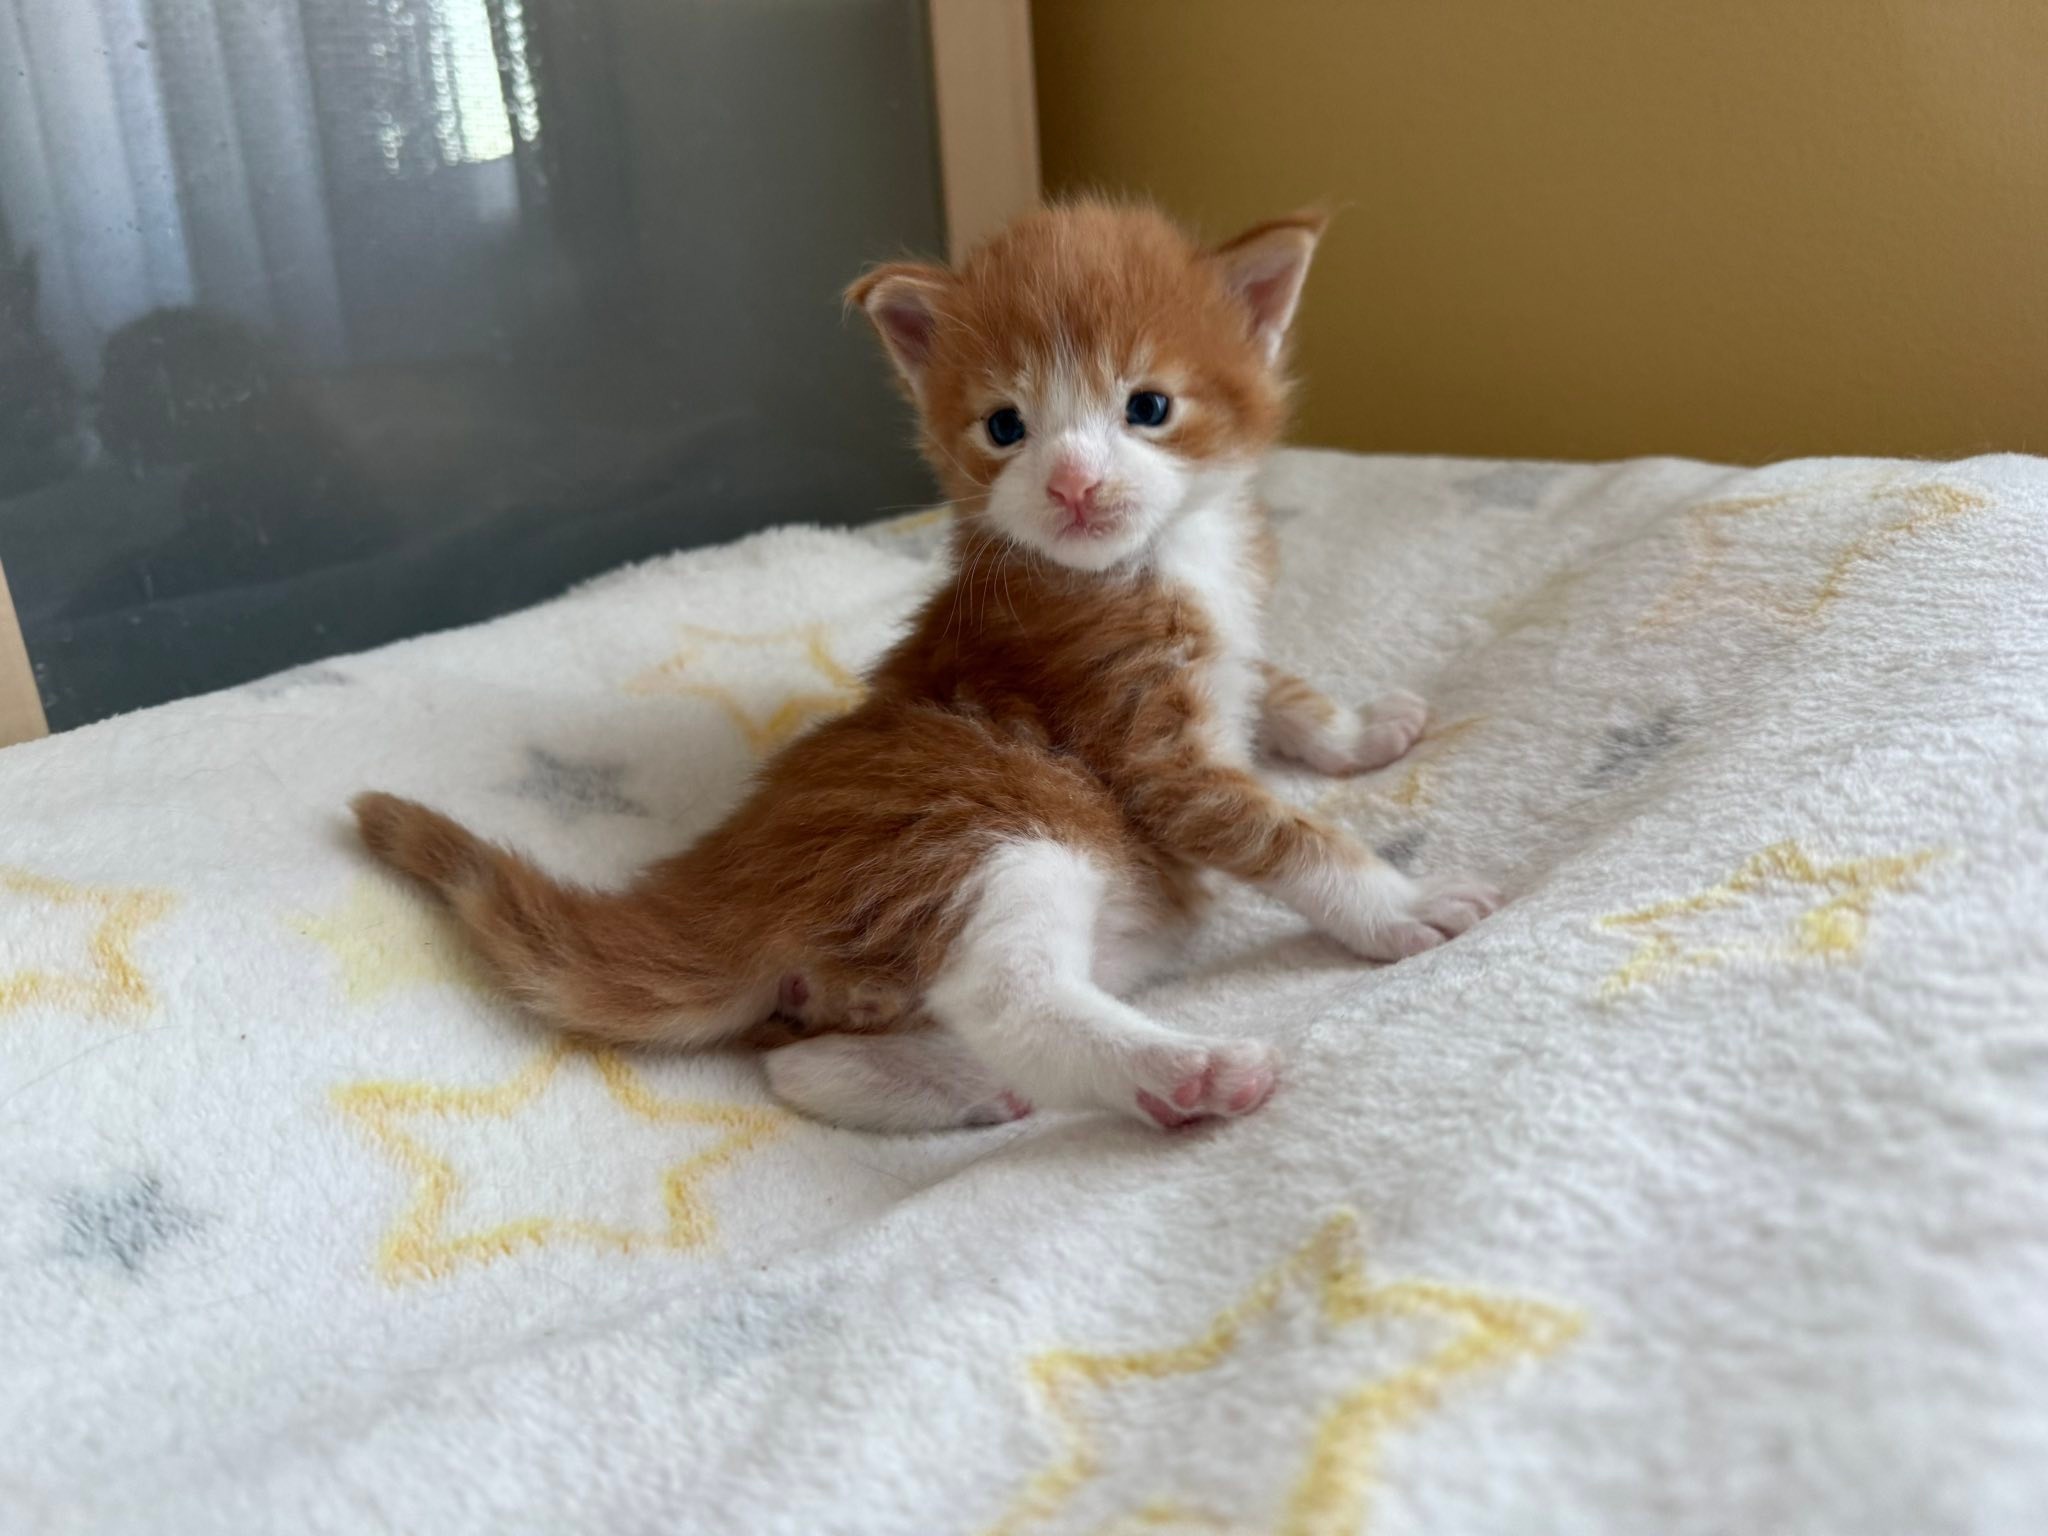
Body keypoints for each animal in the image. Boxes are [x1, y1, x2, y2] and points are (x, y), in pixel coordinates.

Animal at [352, 200, 1501, 1133]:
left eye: (1147, 407)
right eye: (1005, 426)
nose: (1074, 484)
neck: (1154, 562)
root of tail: (725, 884)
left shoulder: (1230, 638)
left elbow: (1273, 686)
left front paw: (1360, 732)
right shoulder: (1146, 750)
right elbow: (1284, 833)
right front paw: (1399, 906)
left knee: (802, 1062)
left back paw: (965, 1088)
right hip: (990, 828)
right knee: (1008, 997)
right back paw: (1187, 1074)